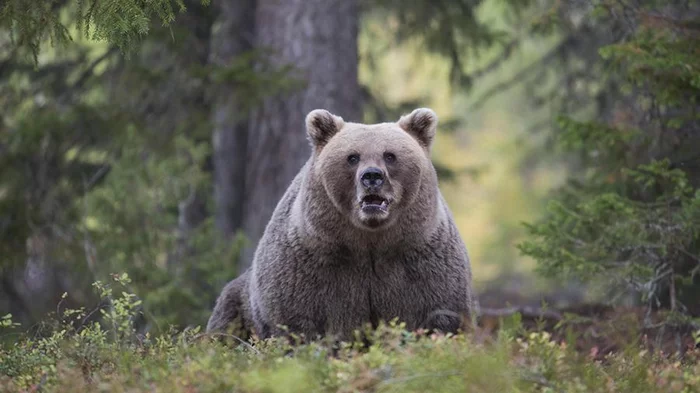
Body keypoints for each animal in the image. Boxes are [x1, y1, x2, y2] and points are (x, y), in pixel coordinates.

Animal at [205, 107, 474, 340]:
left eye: (390, 155)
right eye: (352, 157)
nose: (372, 176)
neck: (369, 243)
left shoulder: (420, 262)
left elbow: (439, 314)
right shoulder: (311, 267)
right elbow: (295, 321)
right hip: (236, 303)